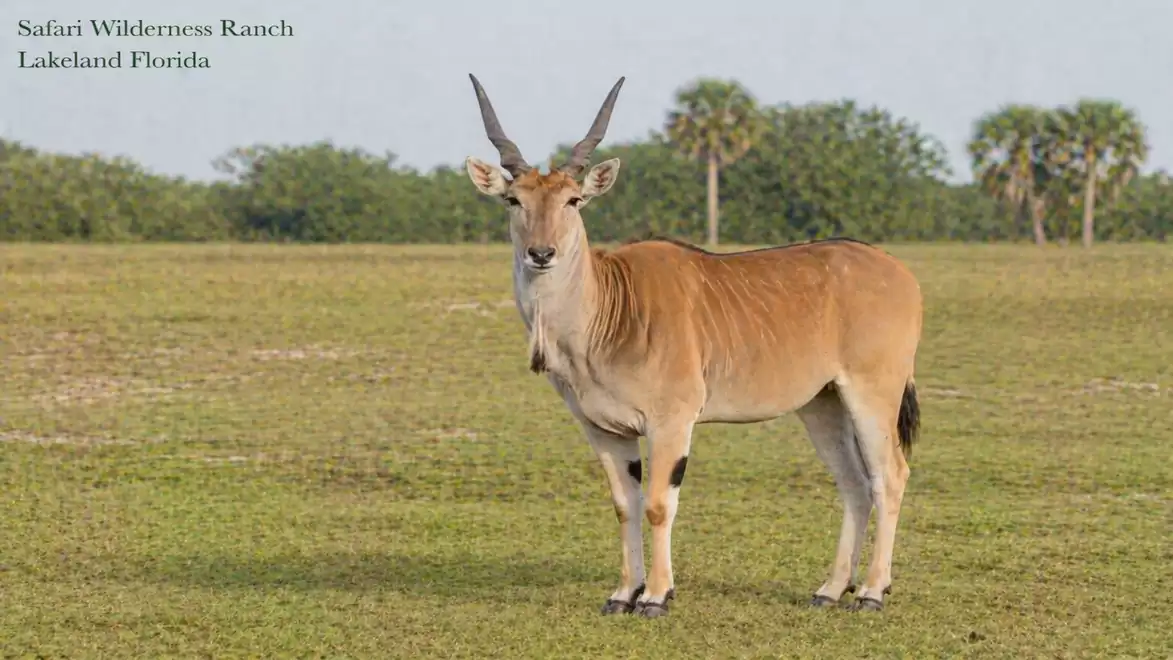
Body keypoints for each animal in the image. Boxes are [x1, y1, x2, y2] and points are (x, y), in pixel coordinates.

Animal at [463, 73, 924, 618]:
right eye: (514, 200)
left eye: (574, 200)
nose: (541, 253)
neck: (611, 309)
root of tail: (899, 271)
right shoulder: (604, 431)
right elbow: (625, 505)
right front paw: (623, 592)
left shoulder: (671, 422)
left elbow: (659, 504)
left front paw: (657, 595)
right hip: (822, 405)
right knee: (853, 484)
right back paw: (830, 589)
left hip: (873, 394)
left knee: (889, 475)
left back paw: (872, 591)